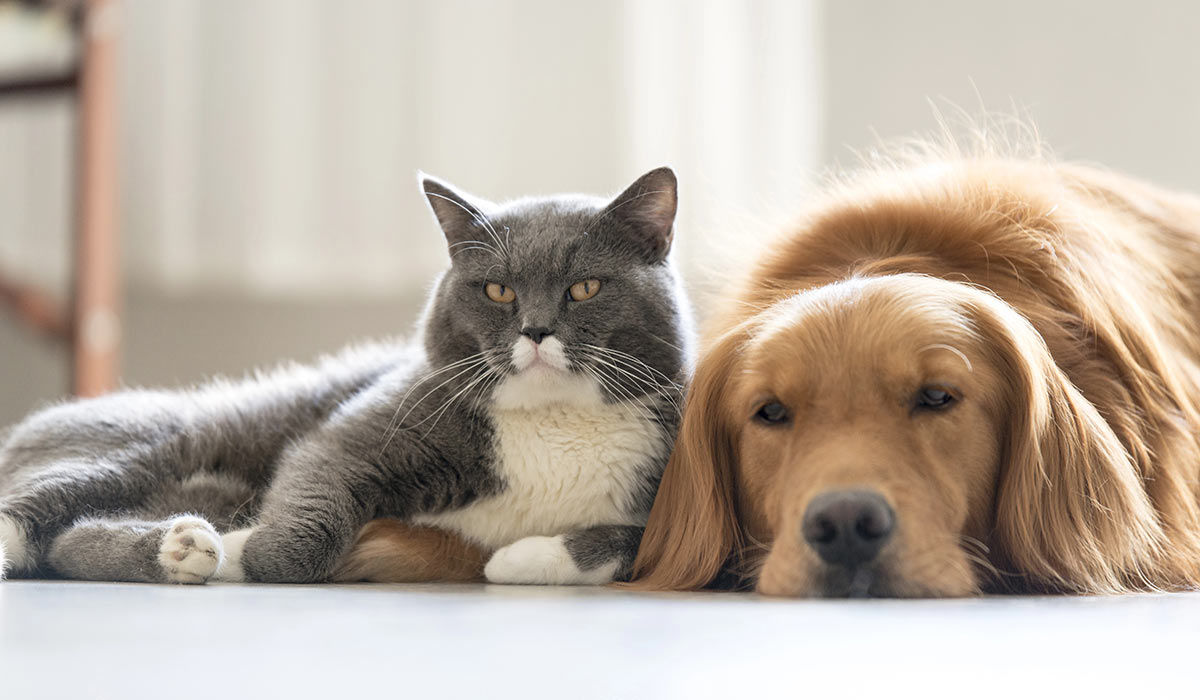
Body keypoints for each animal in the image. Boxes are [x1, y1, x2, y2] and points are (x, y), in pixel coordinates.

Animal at [0, 168, 691, 585]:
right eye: (498, 290)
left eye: (585, 287)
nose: (537, 329)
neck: (554, 421)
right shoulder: (362, 431)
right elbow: (311, 491)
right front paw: (251, 549)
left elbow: (639, 544)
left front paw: (521, 558)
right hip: (160, 439)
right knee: (52, 503)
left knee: (70, 540)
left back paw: (183, 548)